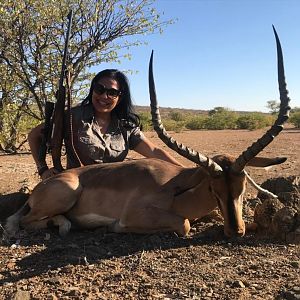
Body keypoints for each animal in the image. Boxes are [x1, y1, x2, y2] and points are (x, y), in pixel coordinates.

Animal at [5, 27, 290, 238]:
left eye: (243, 187)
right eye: (213, 188)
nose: (235, 231)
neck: (175, 187)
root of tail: (42, 186)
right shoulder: (137, 214)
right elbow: (184, 224)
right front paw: (113, 227)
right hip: (66, 193)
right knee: (26, 221)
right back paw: (65, 225)